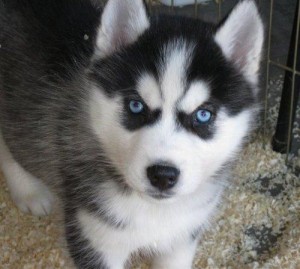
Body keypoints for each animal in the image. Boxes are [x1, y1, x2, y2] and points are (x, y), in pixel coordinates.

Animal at [0, 0, 262, 266]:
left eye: (203, 115)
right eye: (136, 106)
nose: (162, 175)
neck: (155, 210)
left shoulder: (183, 237)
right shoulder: (94, 238)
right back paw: (28, 191)